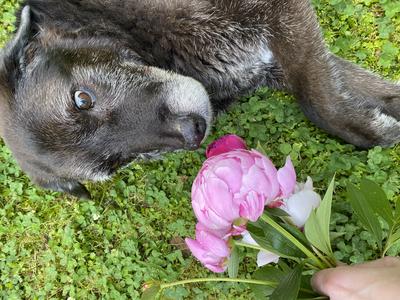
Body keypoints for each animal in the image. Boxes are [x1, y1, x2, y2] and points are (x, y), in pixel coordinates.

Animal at [0, 1, 398, 198]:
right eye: (118, 163)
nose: (194, 131)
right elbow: (340, 85)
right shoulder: (269, 60)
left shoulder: (280, 16)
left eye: (82, 98)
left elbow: (317, 99)